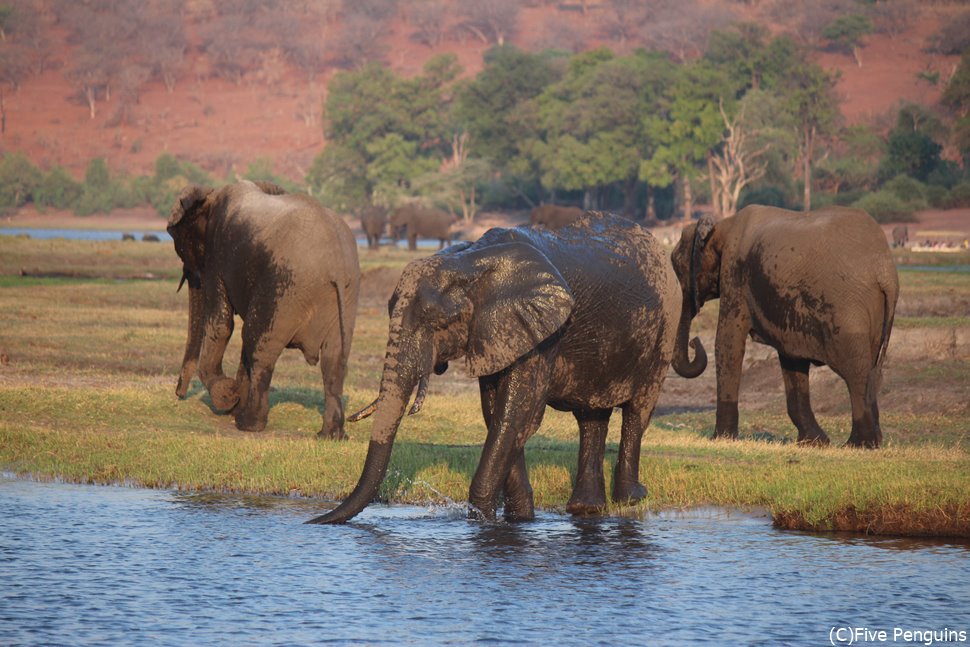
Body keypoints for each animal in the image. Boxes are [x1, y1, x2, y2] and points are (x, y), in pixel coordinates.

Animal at [168, 180, 362, 438]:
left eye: (181, 248)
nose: (179, 394)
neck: (211, 195)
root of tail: (336, 266)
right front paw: (234, 400)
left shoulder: (216, 258)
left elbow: (222, 323)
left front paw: (228, 397)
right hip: (346, 297)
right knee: (334, 360)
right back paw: (330, 436)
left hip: (284, 292)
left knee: (260, 349)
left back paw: (248, 424)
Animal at [310, 213, 680, 528]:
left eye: (437, 322)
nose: (312, 522)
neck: (471, 260)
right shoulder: (496, 332)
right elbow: (497, 414)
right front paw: (519, 520)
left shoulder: (543, 333)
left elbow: (517, 414)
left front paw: (483, 520)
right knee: (591, 416)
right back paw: (586, 509)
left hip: (665, 329)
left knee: (638, 410)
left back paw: (631, 498)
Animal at [668, 205, 896, 448]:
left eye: (678, 269)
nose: (694, 342)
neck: (722, 226)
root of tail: (886, 273)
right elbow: (792, 356)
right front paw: (813, 442)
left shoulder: (734, 276)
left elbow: (728, 343)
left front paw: (721, 439)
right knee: (871, 368)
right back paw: (872, 441)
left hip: (847, 307)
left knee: (856, 371)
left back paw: (858, 444)